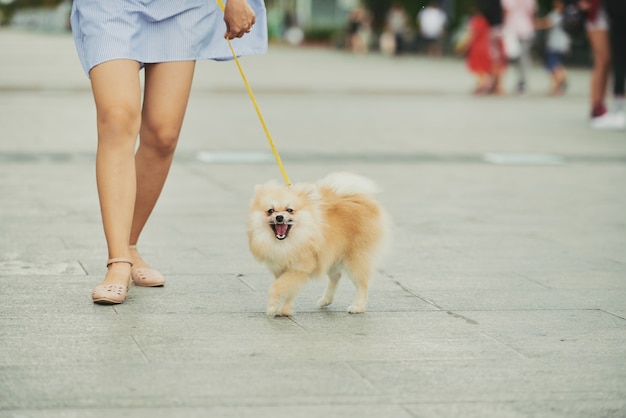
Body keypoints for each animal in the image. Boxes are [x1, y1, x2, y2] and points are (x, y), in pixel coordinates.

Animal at [245, 171, 388, 316]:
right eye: (270, 211)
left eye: (290, 210)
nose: (279, 217)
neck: (287, 243)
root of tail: (360, 198)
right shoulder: (282, 269)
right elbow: (288, 291)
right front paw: (285, 311)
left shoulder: (298, 269)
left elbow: (276, 287)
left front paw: (273, 307)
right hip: (332, 254)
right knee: (336, 276)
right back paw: (326, 300)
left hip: (355, 258)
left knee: (362, 284)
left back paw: (358, 307)